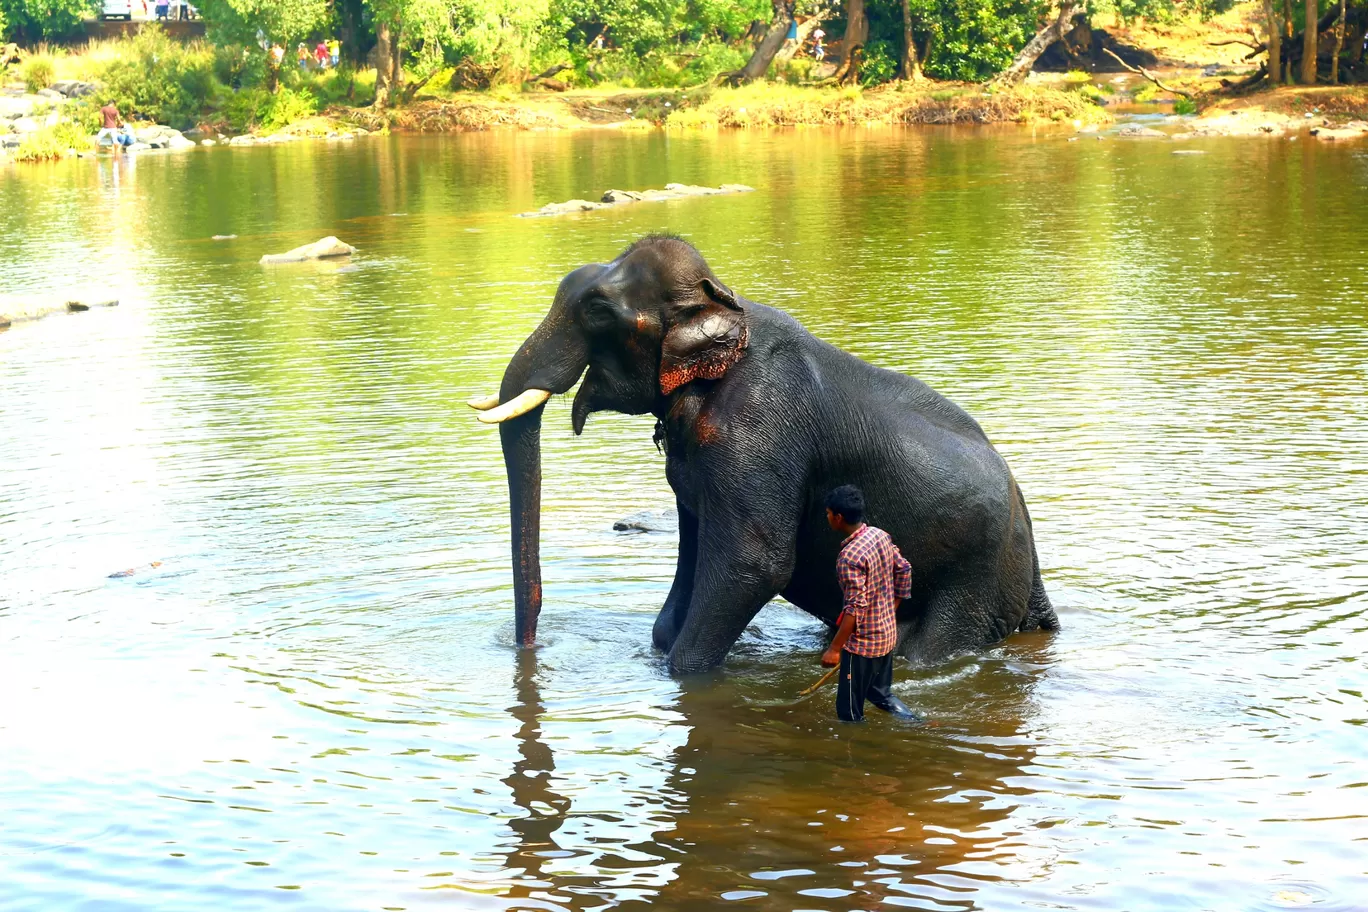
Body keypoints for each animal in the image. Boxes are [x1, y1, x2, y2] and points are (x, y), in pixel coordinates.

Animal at [470, 235, 1056, 678]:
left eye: (596, 312)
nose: (530, 649)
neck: (725, 303)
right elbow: (693, 557)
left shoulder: (758, 426)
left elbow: (753, 563)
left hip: (975, 580)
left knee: (929, 647)